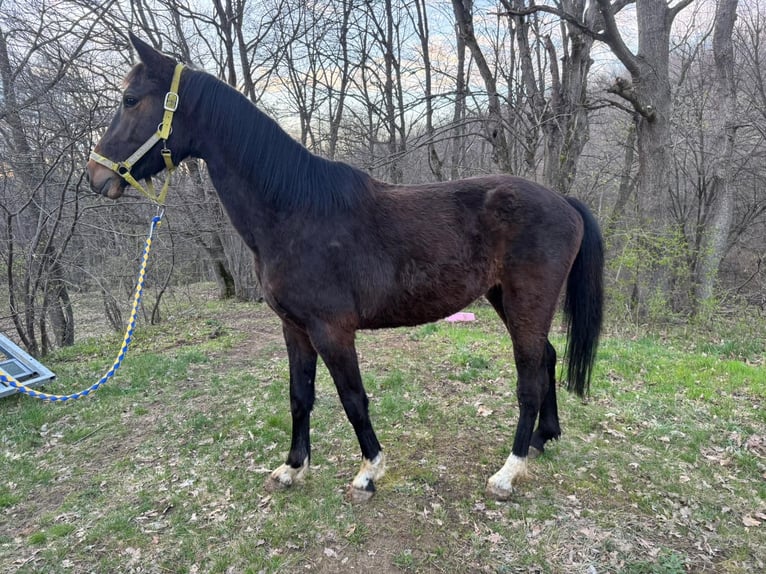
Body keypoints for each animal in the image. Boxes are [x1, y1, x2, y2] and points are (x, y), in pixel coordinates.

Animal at [86, 33, 604, 502]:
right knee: (547, 359)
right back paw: (542, 439)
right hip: (506, 300)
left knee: (529, 377)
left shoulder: (332, 330)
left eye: (130, 99)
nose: (95, 176)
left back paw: (508, 472)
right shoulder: (294, 328)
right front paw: (293, 467)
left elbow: (353, 398)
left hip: (525, 302)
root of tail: (565, 202)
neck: (293, 211)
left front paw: (369, 472)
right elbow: (300, 396)